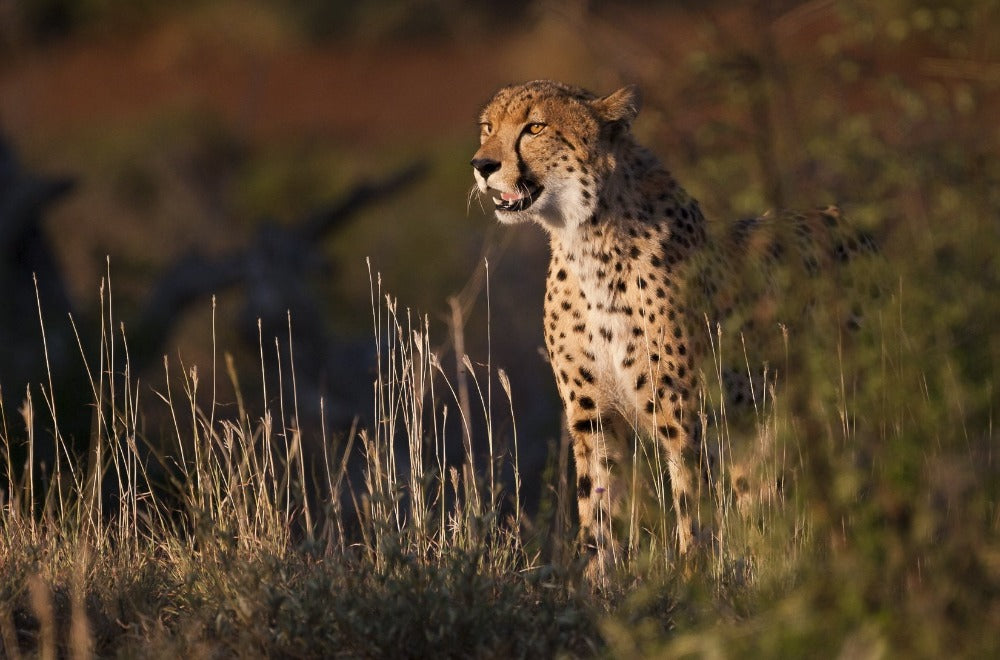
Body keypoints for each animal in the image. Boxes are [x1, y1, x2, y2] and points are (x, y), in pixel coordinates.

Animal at [472, 80, 880, 576]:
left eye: (535, 127)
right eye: (488, 127)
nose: (482, 165)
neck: (586, 239)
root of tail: (844, 217)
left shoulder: (681, 414)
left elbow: (690, 503)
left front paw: (692, 580)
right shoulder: (594, 417)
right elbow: (598, 508)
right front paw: (597, 582)